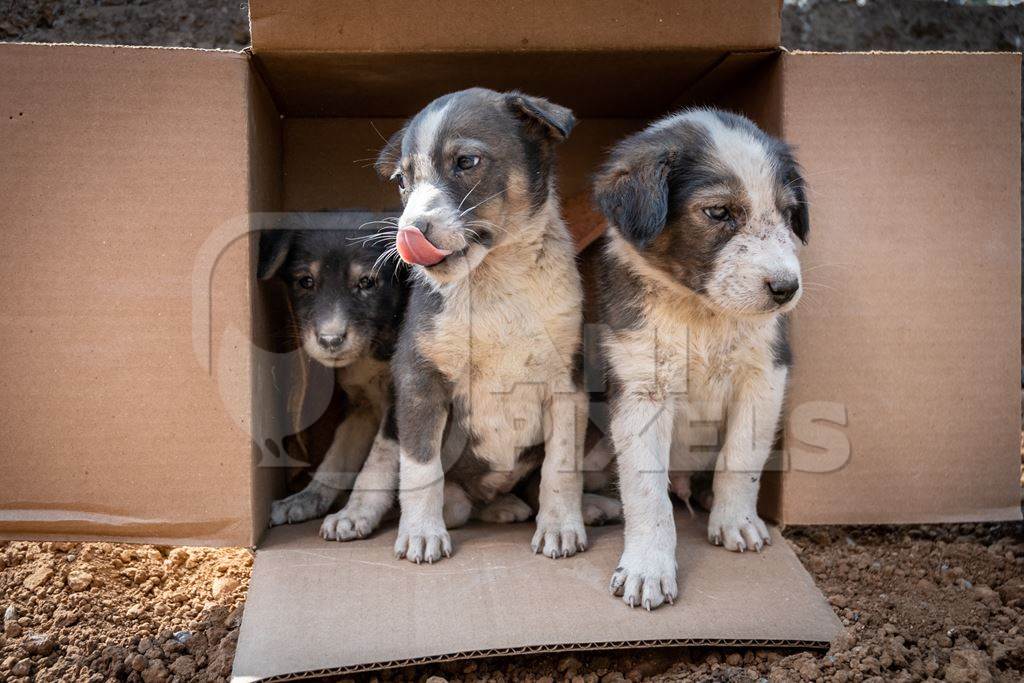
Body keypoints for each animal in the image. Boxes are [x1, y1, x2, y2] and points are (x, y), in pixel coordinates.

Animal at [258, 211, 409, 540]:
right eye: (306, 281)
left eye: (366, 282)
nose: (330, 340)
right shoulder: (361, 406)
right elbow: (337, 456)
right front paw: (306, 499)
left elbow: (378, 460)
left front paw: (355, 513)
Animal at [372, 88, 593, 565]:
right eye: (401, 181)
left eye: (467, 162)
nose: (408, 233)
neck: (494, 281)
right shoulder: (419, 380)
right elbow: (420, 468)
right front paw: (421, 534)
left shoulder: (567, 383)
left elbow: (561, 468)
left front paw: (561, 528)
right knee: (454, 501)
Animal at [593, 107, 806, 610]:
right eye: (719, 212)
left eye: (789, 214)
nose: (787, 289)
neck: (702, 312)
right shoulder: (641, 385)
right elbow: (645, 490)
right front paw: (647, 569)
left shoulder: (765, 375)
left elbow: (742, 456)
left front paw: (735, 522)